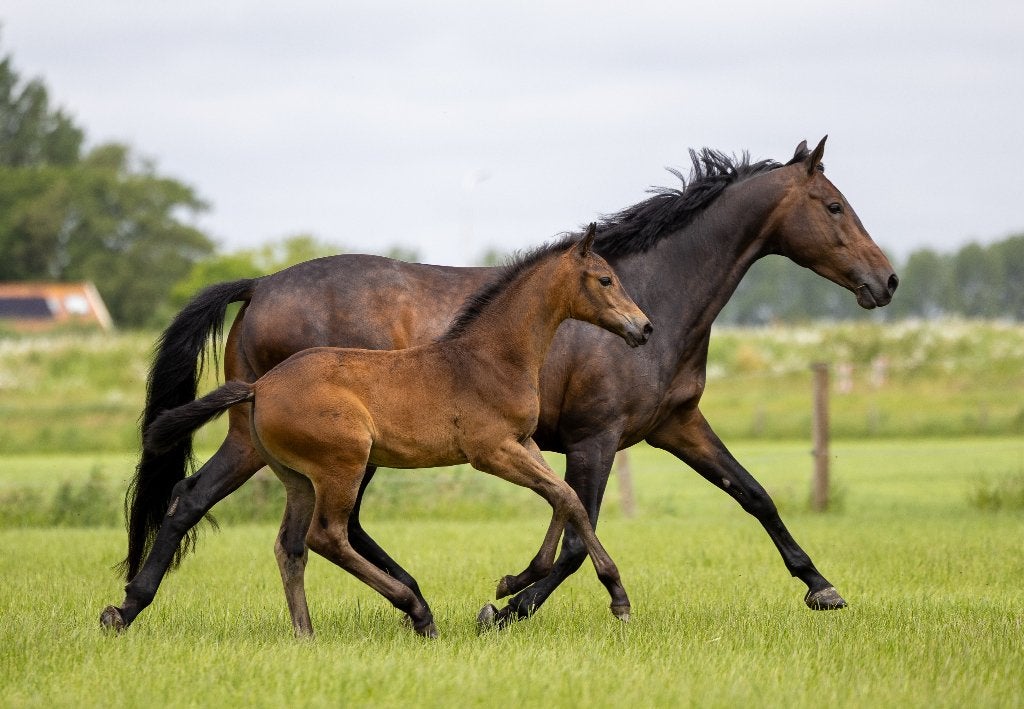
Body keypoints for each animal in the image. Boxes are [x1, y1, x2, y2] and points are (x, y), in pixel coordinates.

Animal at [102, 226, 653, 637]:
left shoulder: (525, 443)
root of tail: (258, 386)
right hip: (344, 463)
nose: (644, 328)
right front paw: (611, 597)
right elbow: (565, 497)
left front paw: (520, 584)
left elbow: (565, 499)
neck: (488, 358)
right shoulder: (492, 451)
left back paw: (305, 632)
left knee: (289, 544)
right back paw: (417, 611)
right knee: (326, 535)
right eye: (605, 279)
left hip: (297, 478)